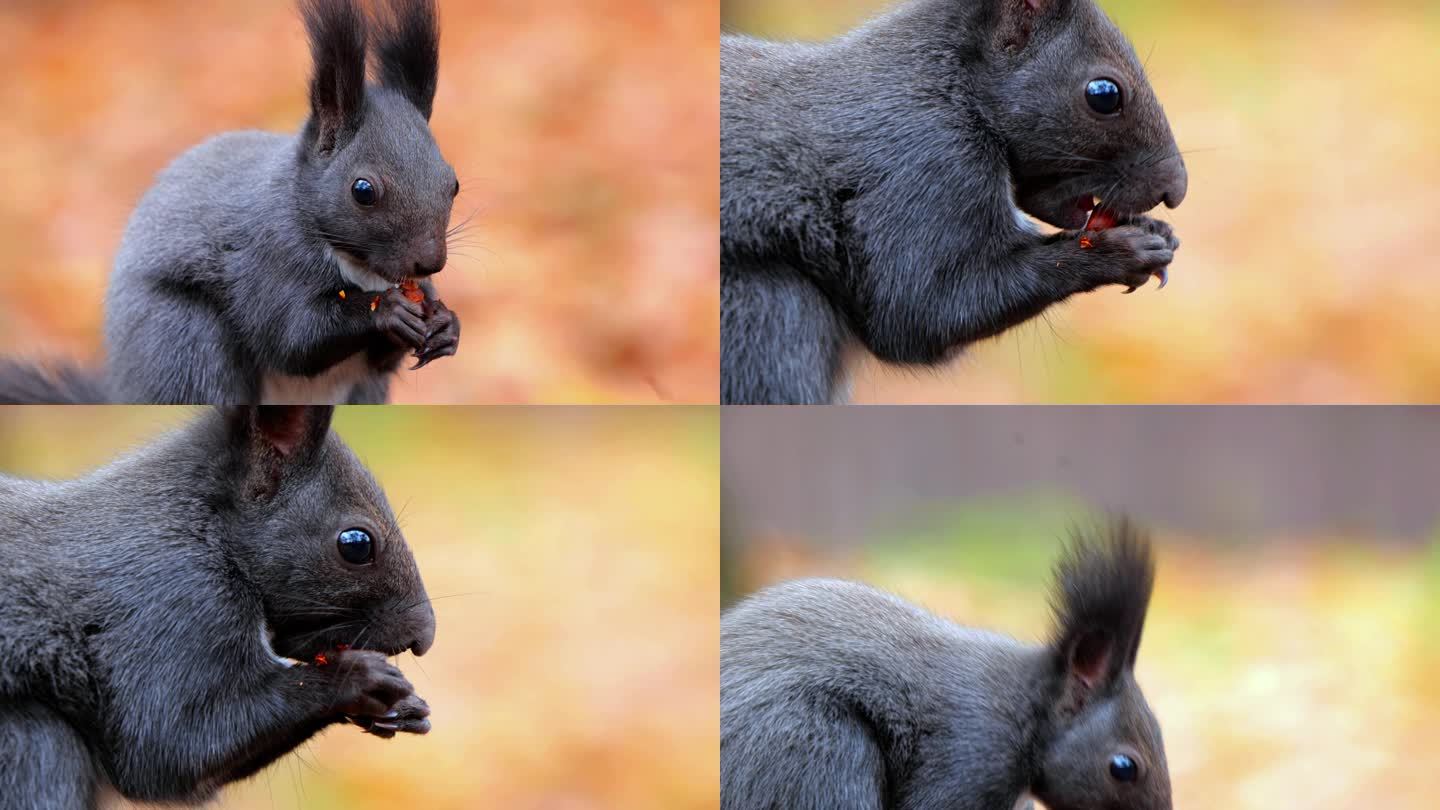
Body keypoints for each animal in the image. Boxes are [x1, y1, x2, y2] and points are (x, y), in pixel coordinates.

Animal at [0, 0, 457, 403]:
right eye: (363, 190)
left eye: (452, 183)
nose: (430, 262)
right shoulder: (266, 258)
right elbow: (291, 337)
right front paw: (388, 310)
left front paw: (446, 324)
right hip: (184, 343)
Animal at [0, 406, 434, 801]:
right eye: (356, 544)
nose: (424, 637)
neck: (203, 528)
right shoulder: (170, 602)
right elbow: (167, 748)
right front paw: (359, 678)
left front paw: (404, 708)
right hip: (34, 745)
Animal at [725, 0, 1186, 400]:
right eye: (1104, 93)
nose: (1175, 191)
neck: (949, 84)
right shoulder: (924, 162)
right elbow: (920, 312)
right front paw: (1123, 250)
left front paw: (1155, 229)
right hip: (768, 313)